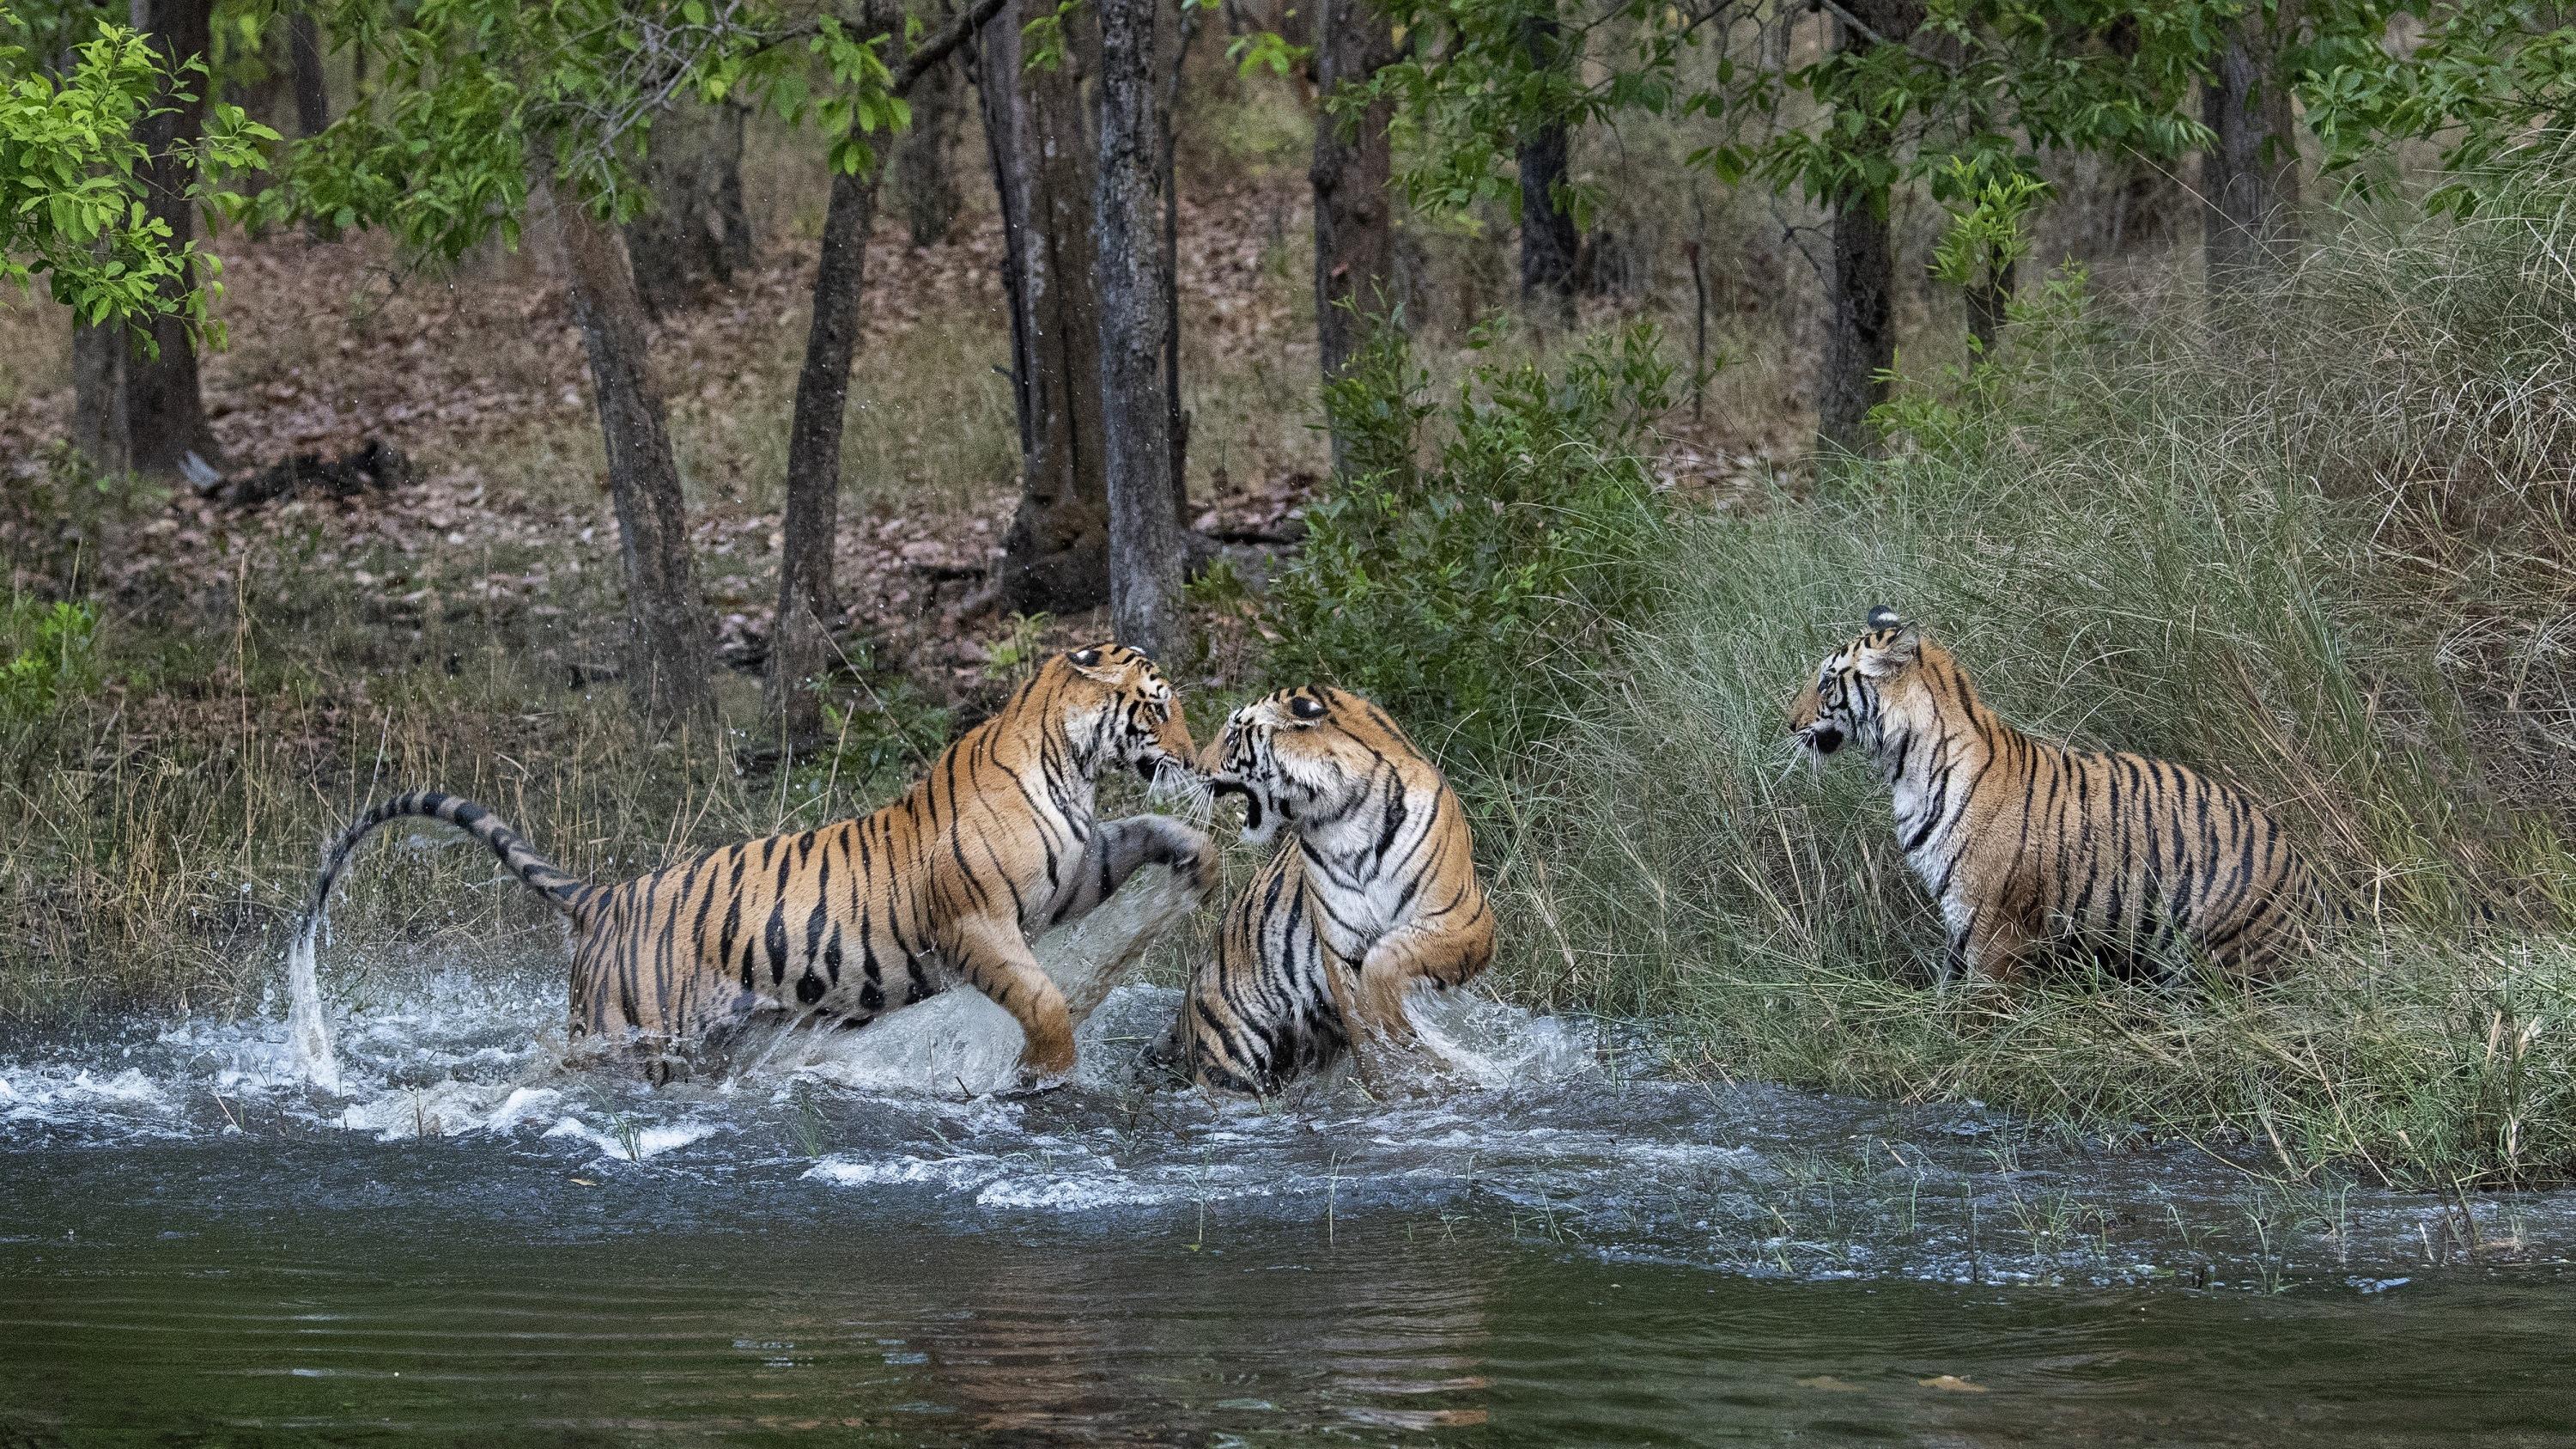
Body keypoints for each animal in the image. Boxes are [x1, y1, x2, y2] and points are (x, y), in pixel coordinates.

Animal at [292, 642, 1216, 1082]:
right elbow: (1045, 1000)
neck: (1070, 765)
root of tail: (603, 897)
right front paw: (1043, 1075)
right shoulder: (977, 921)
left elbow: (1139, 833)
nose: (1196, 758)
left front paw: (1200, 858)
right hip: (628, 1034)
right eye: (1158, 707)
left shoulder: (1075, 870)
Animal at [1164, 680, 1504, 1087]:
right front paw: (1392, 1075)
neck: (1345, 818)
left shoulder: (1465, 920)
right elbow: (1364, 1027)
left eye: (1232, 736)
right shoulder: (1342, 944)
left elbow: (1385, 961)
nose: (1194, 768)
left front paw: (1401, 1036)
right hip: (1226, 1056)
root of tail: (1184, 1012)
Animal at [1793, 603, 2339, 984]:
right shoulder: (1957, 922)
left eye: (1826, 681)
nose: (1788, 723)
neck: (1904, 768)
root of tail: (2319, 904)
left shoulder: (1991, 928)